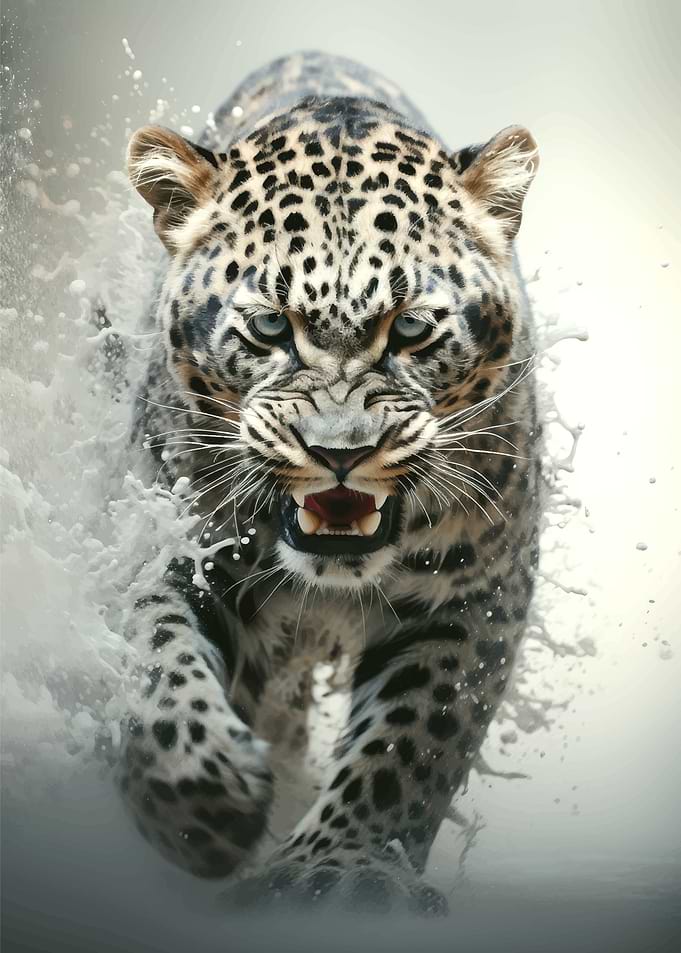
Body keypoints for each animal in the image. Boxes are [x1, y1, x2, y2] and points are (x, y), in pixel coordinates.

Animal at [118, 50, 541, 916]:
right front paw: (199, 803)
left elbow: (408, 743)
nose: (339, 452)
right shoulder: (164, 544)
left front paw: (337, 871)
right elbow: (155, 661)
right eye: (269, 328)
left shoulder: (471, 596)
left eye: (409, 329)